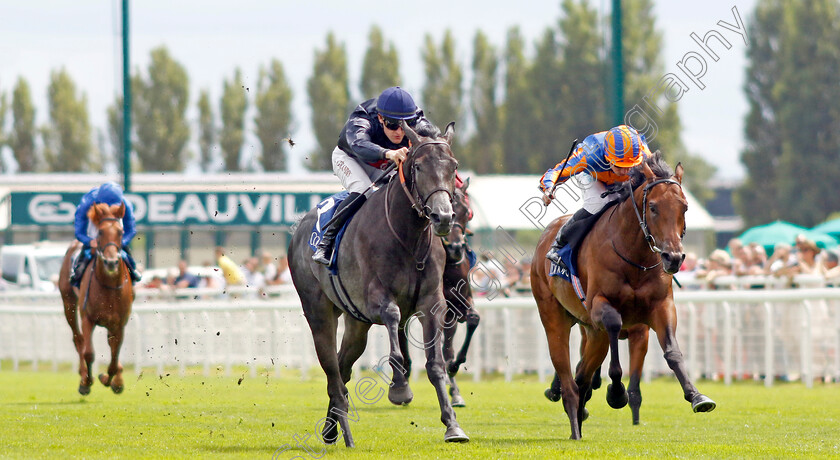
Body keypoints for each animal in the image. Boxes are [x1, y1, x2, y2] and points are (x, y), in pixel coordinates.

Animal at [58, 202, 134, 396]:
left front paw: (113, 380)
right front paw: (87, 381)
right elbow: (89, 353)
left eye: (121, 232)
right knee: (78, 340)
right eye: (100, 232)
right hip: (68, 303)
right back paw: (83, 376)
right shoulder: (88, 318)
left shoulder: (119, 323)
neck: (109, 286)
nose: (111, 262)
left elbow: (114, 358)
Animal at [398, 176, 480, 406]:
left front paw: (454, 371)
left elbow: (472, 320)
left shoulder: (458, 304)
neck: (449, 268)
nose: (455, 247)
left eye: (466, 212)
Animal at [528, 154, 712, 438]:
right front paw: (616, 393)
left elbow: (672, 351)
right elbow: (614, 330)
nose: (673, 257)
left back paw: (579, 412)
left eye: (684, 207)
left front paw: (696, 396)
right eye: (654, 207)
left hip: (591, 332)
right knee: (568, 372)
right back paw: (574, 422)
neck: (634, 256)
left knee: (582, 375)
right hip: (554, 318)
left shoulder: (661, 307)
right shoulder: (599, 306)